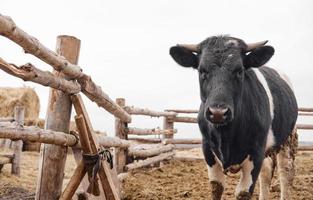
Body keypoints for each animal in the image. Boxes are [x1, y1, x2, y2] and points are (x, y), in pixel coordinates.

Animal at [169, 36, 296, 200]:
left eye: (239, 71)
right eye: (202, 71)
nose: (218, 112)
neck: (227, 137)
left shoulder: (256, 152)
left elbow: (243, 192)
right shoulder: (207, 150)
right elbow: (217, 187)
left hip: (289, 138)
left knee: (286, 172)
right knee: (267, 171)